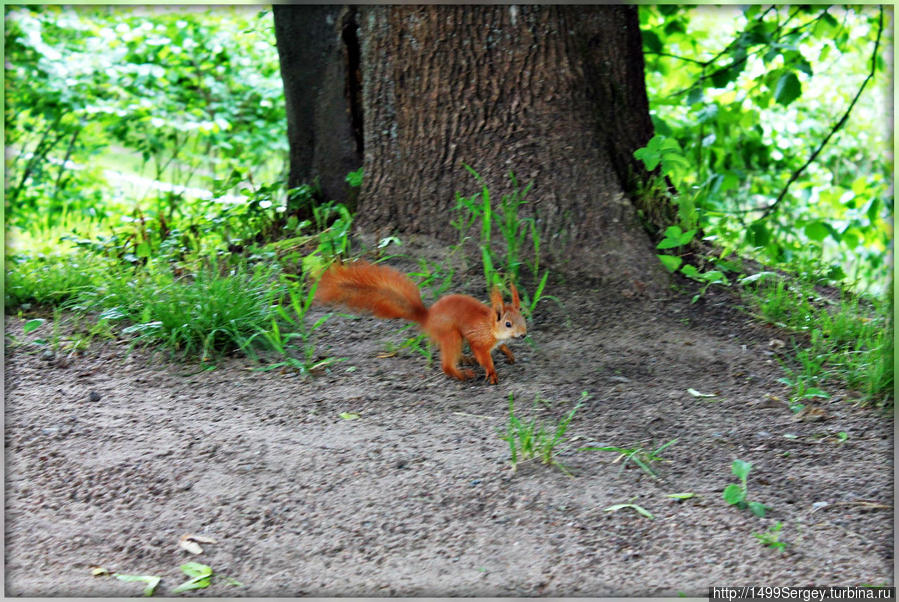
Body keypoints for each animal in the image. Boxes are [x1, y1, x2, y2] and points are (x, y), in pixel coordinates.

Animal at [316, 258, 528, 382]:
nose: (524, 335)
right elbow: (483, 356)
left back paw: (465, 360)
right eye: (508, 324)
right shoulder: (479, 339)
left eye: (523, 318)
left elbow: (503, 347)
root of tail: (427, 318)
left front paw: (509, 355)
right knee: (446, 364)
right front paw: (491, 372)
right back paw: (462, 374)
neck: (490, 326)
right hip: (451, 334)